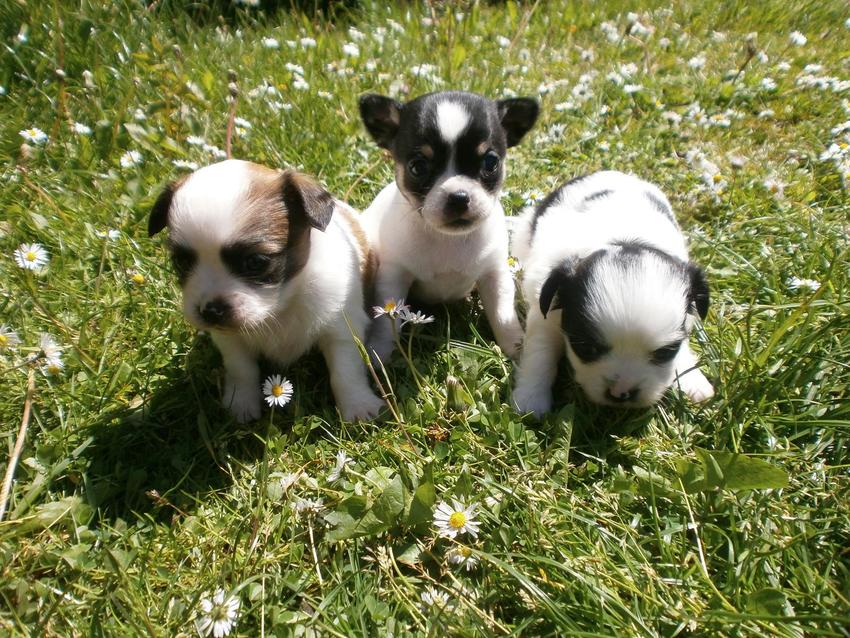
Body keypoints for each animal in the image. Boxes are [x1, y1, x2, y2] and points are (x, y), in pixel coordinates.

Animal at [148, 159, 384, 422]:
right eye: (181, 262)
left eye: (255, 262)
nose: (210, 311)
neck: (280, 307)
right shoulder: (231, 340)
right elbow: (241, 369)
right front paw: (240, 403)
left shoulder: (341, 329)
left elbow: (345, 371)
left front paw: (358, 406)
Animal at [358, 90, 539, 362]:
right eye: (418, 167)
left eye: (490, 163)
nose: (459, 196)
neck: (448, 239)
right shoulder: (393, 277)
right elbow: (386, 321)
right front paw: (380, 352)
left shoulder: (494, 275)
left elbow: (502, 315)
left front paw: (517, 348)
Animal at [512, 171, 715, 416]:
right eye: (587, 349)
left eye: (666, 352)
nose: (621, 393)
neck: (623, 239)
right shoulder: (545, 314)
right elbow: (540, 352)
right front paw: (531, 398)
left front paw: (691, 379)